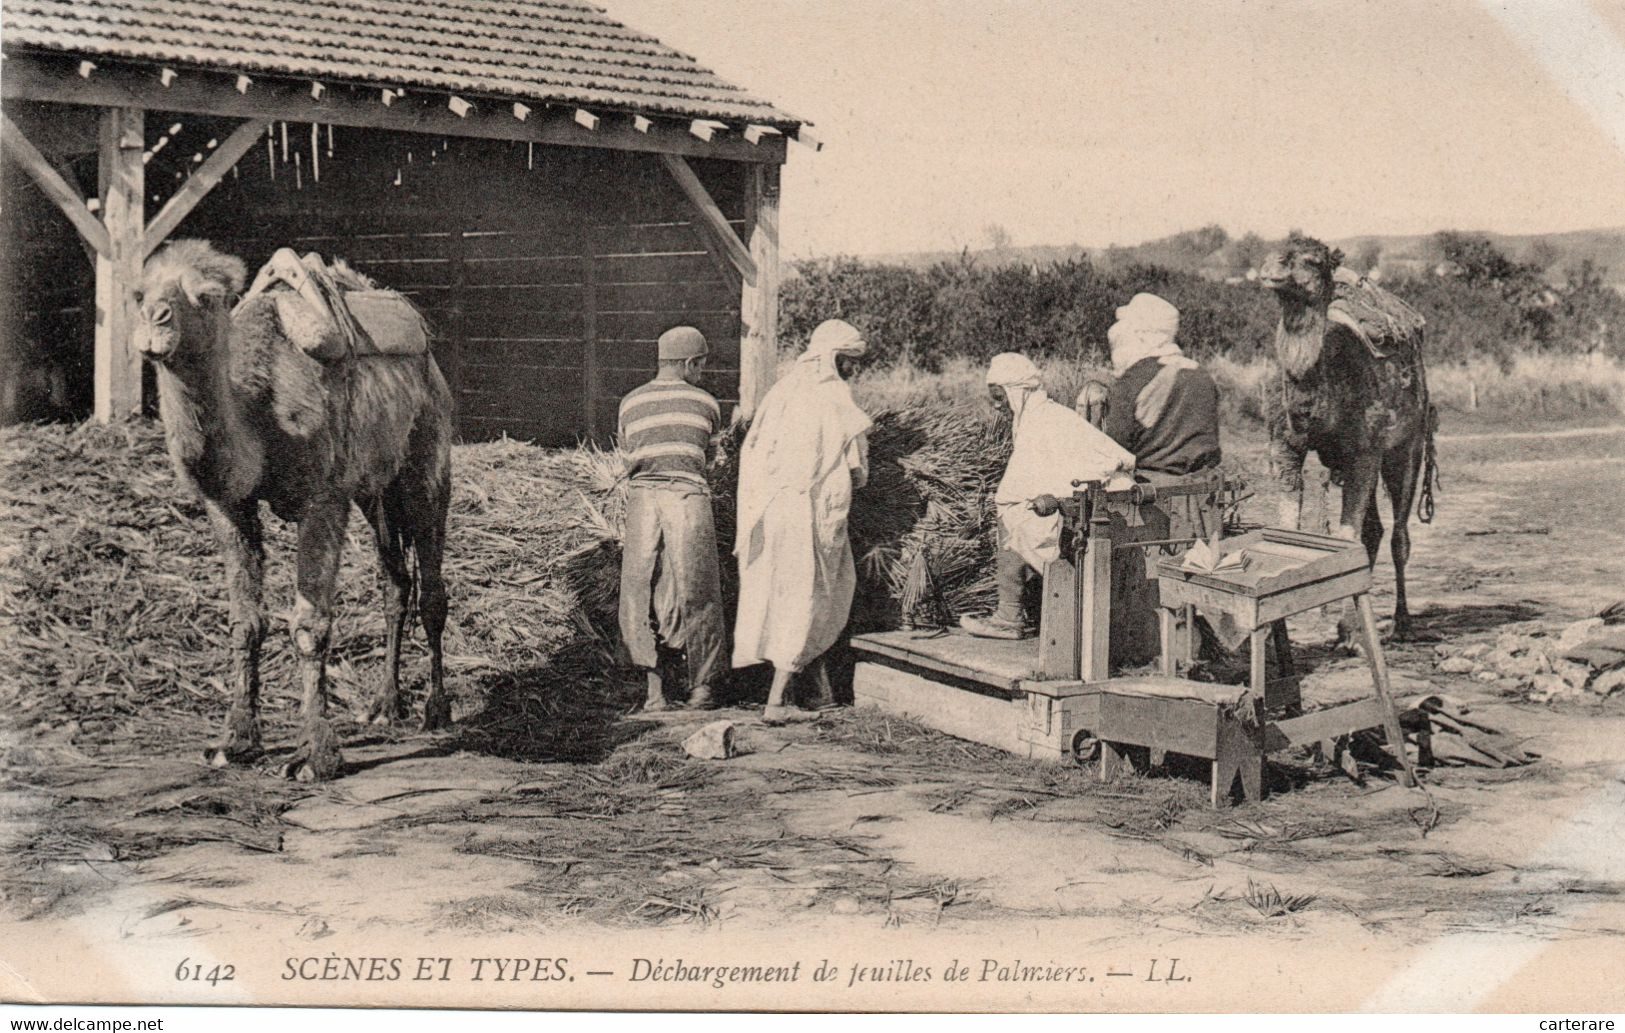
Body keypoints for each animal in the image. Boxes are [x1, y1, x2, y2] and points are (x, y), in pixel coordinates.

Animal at [131, 238, 451, 779]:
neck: (260, 414)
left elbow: (309, 626)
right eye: (139, 293)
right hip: (373, 489)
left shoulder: (323, 497)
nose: (155, 320)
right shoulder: (230, 505)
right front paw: (234, 741)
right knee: (395, 581)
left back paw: (436, 711)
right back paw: (383, 706)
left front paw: (315, 756)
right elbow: (245, 621)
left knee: (432, 588)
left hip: (428, 461)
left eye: (207, 297)